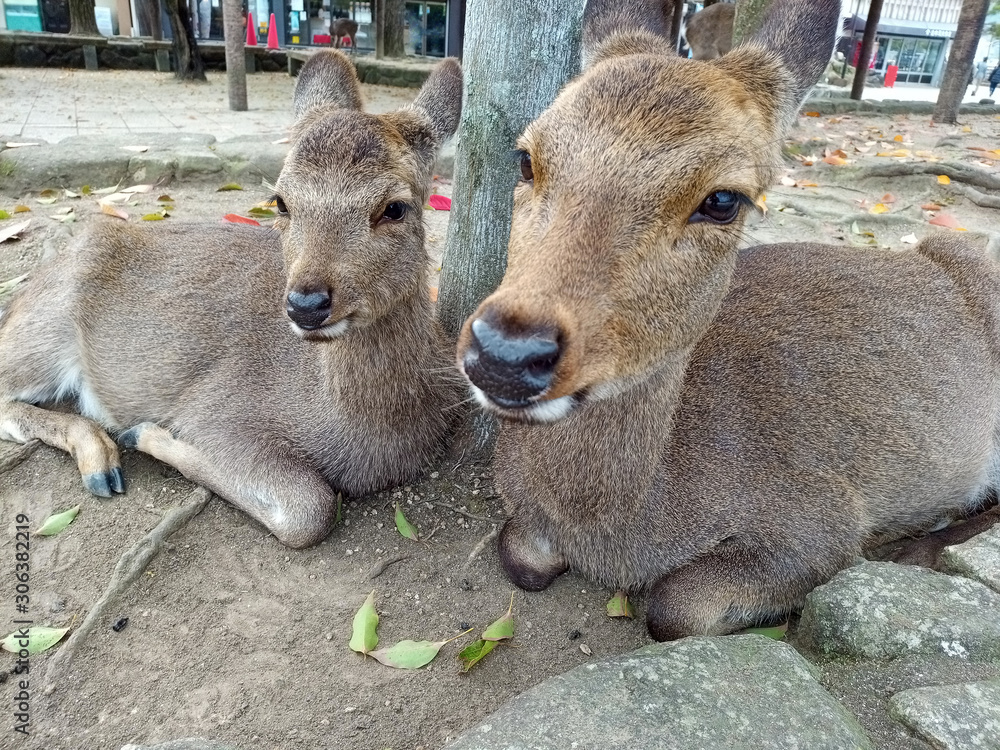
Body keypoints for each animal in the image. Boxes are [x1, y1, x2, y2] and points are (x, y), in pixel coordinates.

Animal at [0, 50, 464, 549]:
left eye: (395, 207)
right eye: (280, 201)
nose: (306, 304)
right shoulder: (216, 410)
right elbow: (310, 507)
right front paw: (142, 433)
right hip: (44, 332)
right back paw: (101, 459)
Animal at [456, 0, 1000, 641]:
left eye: (723, 200)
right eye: (526, 158)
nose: (507, 353)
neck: (612, 528)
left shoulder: (820, 521)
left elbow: (673, 609)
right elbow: (518, 557)